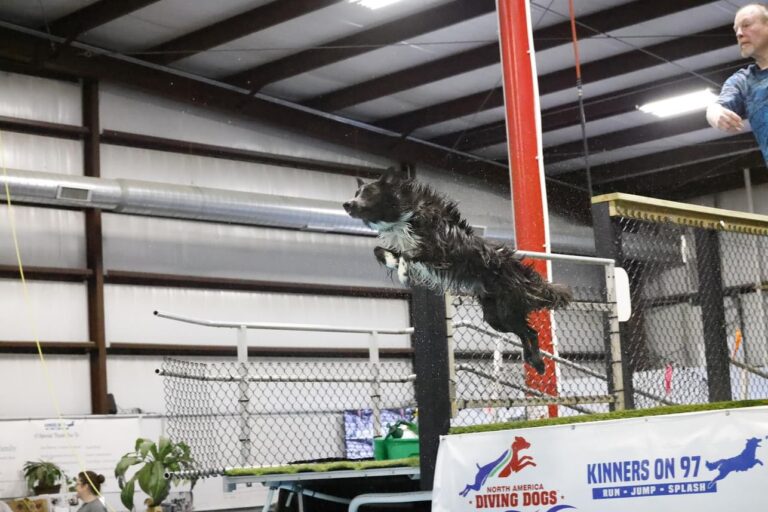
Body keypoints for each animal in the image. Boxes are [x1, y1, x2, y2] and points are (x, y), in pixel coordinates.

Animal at [343, 171, 571, 374]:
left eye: (369, 193)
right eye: (356, 193)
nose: (347, 204)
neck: (405, 214)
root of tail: (520, 273)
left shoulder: (439, 250)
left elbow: (409, 255)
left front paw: (403, 271)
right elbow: (379, 250)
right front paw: (394, 262)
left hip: (507, 309)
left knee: (530, 332)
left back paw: (538, 362)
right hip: (495, 316)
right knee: (525, 331)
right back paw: (534, 361)